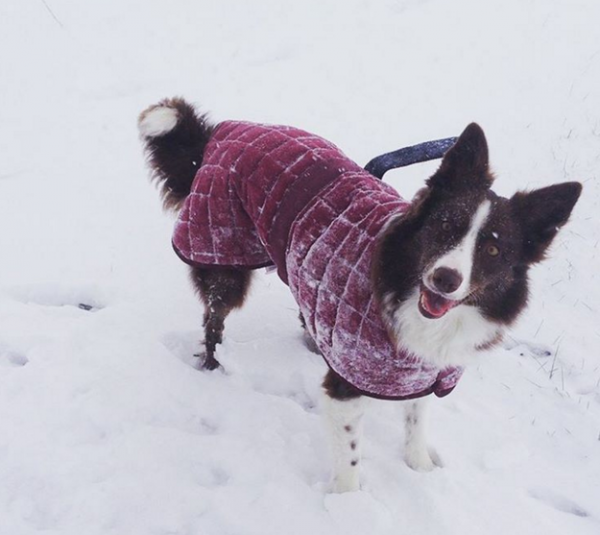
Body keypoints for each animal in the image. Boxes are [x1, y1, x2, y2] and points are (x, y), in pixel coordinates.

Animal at [139, 97, 580, 494]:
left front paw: (419, 469)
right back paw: (213, 366)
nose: (445, 279)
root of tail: (224, 132)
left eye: (492, 250)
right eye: (444, 227)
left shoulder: (424, 372)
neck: (402, 292)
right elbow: (350, 455)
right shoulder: (347, 393)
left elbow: (417, 420)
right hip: (223, 255)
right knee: (213, 318)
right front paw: (346, 507)